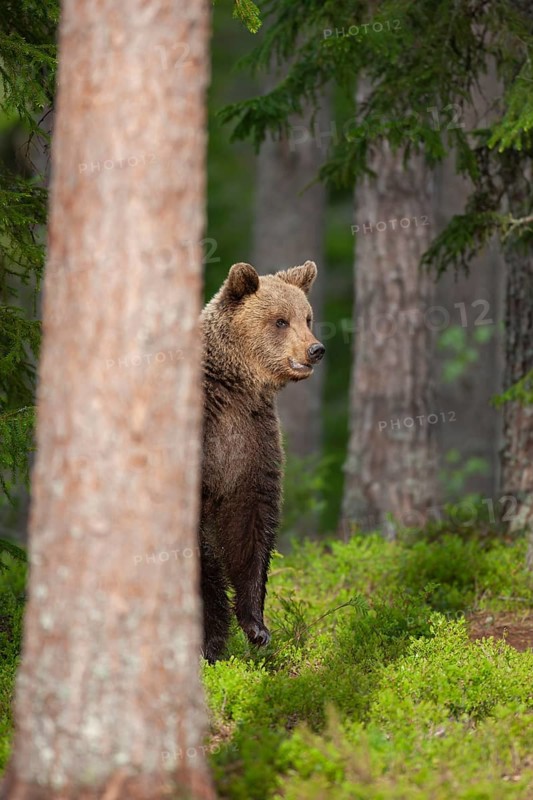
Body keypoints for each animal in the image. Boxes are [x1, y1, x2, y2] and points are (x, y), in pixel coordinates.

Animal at [199, 260, 325, 663]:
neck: (235, 386)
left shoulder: (252, 440)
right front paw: (211, 638)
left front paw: (256, 626)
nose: (315, 349)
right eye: (280, 320)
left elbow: (251, 521)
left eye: (307, 317)